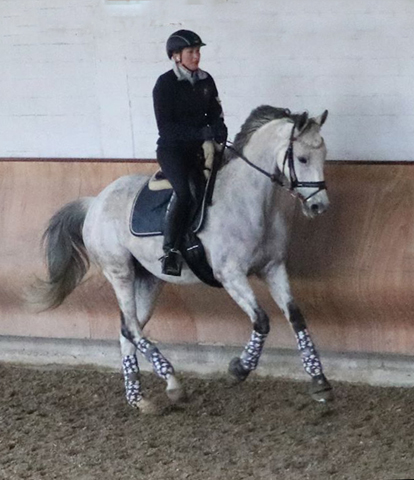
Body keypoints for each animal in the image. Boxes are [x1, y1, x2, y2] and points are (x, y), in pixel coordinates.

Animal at [34, 105, 334, 412]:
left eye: (323, 155)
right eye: (302, 158)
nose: (319, 206)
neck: (250, 202)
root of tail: (95, 202)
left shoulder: (272, 268)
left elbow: (295, 317)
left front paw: (319, 382)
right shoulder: (231, 275)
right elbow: (261, 320)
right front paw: (239, 369)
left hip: (149, 280)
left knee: (127, 330)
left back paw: (139, 399)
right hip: (119, 272)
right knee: (131, 327)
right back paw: (173, 383)